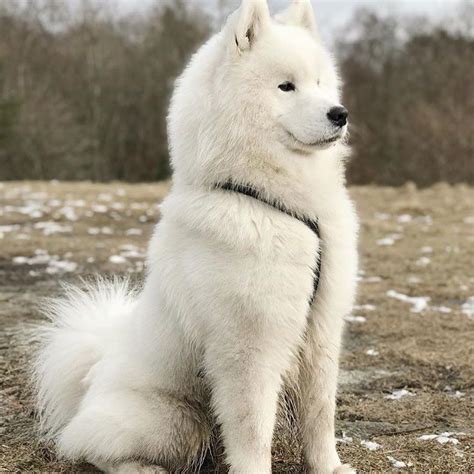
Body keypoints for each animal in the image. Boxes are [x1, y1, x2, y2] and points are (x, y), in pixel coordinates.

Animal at [32, 1, 360, 472]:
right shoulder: (247, 350)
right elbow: (253, 431)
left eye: (320, 83)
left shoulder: (321, 330)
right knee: (88, 447)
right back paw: (140, 467)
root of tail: (92, 372)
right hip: (168, 418)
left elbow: (320, 413)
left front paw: (329, 466)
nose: (340, 113)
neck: (272, 202)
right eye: (286, 86)